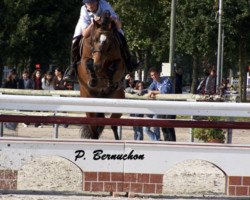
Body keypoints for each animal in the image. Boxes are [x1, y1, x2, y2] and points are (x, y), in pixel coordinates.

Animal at [76, 10, 125, 139]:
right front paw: (93, 80)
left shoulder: (120, 62)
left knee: (113, 125)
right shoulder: (84, 61)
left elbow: (113, 67)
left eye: (109, 42)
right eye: (93, 39)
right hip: (89, 105)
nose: (97, 65)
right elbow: (88, 63)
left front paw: (111, 83)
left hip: (118, 102)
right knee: (94, 128)